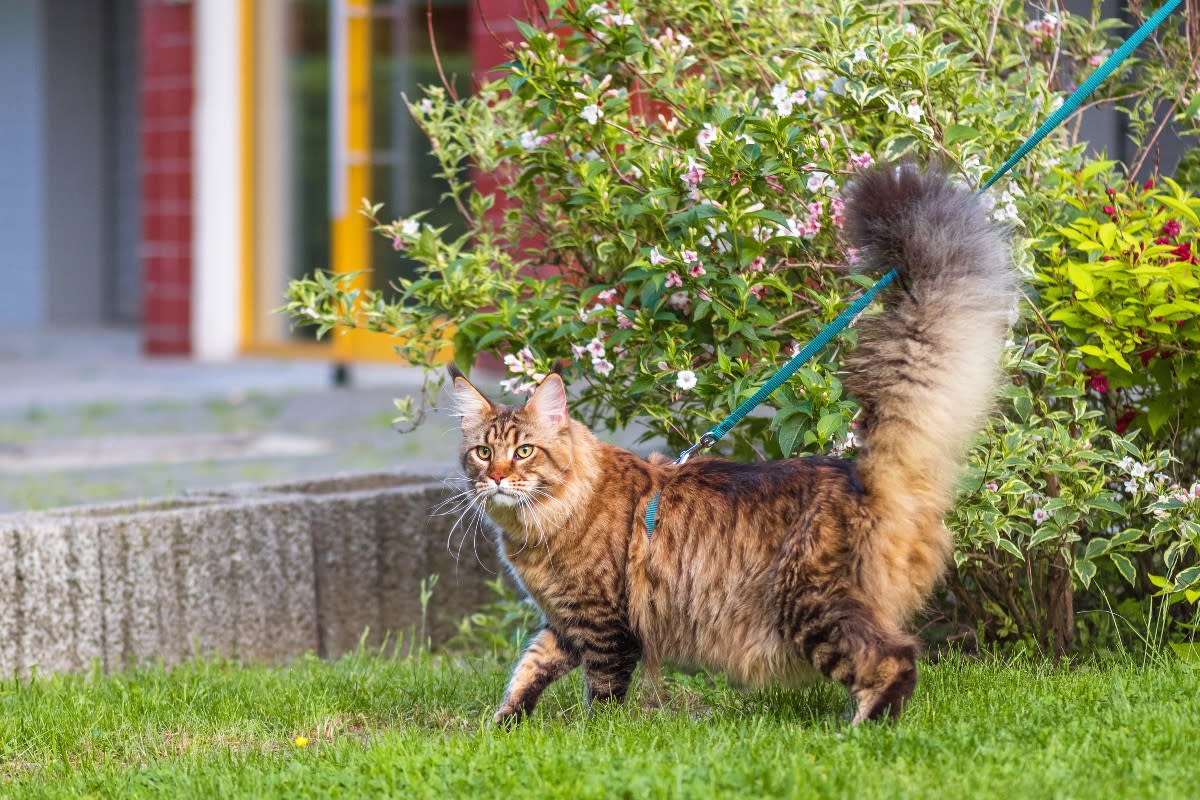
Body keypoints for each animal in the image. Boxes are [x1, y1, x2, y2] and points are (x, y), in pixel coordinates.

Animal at [448, 164, 1012, 724]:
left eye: (524, 451)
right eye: (483, 452)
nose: (497, 477)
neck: (541, 525)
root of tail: (860, 473)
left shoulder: (605, 623)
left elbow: (602, 692)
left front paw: (593, 733)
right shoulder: (563, 623)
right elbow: (527, 671)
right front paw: (502, 727)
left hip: (812, 607)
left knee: (896, 659)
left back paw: (858, 732)